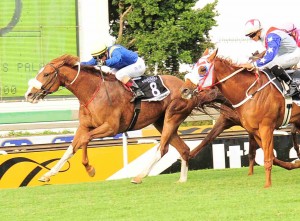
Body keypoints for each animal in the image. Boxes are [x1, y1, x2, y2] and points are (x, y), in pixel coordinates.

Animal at [180, 49, 300, 187]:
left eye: (202, 69)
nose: (184, 90)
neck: (249, 92)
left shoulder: (266, 127)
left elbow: (267, 157)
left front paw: (267, 184)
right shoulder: (249, 128)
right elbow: (268, 156)